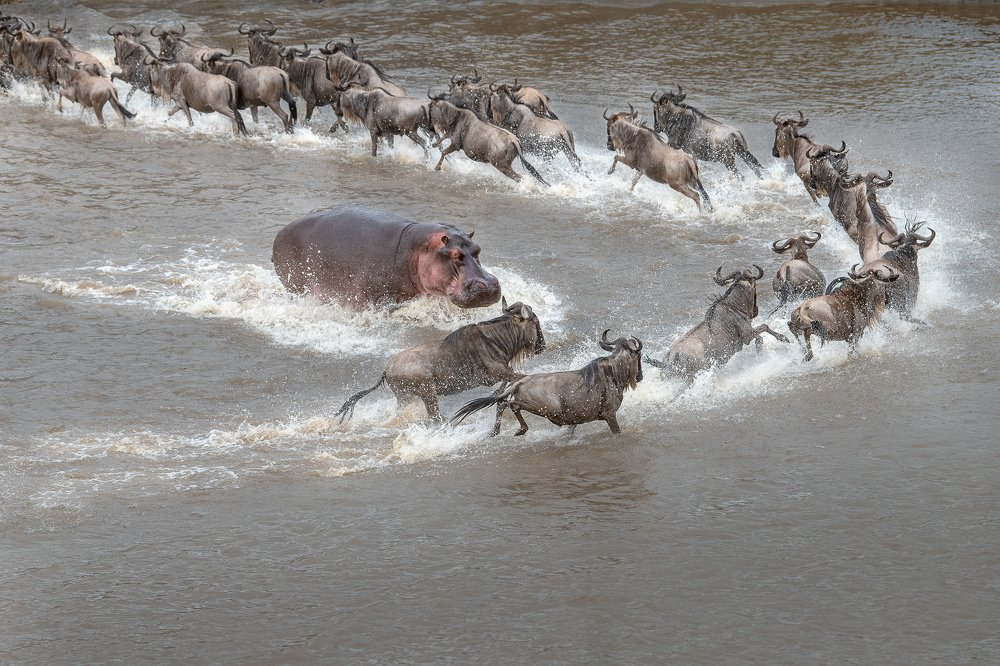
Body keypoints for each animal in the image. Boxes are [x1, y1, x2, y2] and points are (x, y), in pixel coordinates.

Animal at [271, 205, 502, 309]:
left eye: (478, 249)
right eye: (455, 254)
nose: (490, 285)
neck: (416, 248)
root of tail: (280, 233)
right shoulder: (380, 298)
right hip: (296, 285)